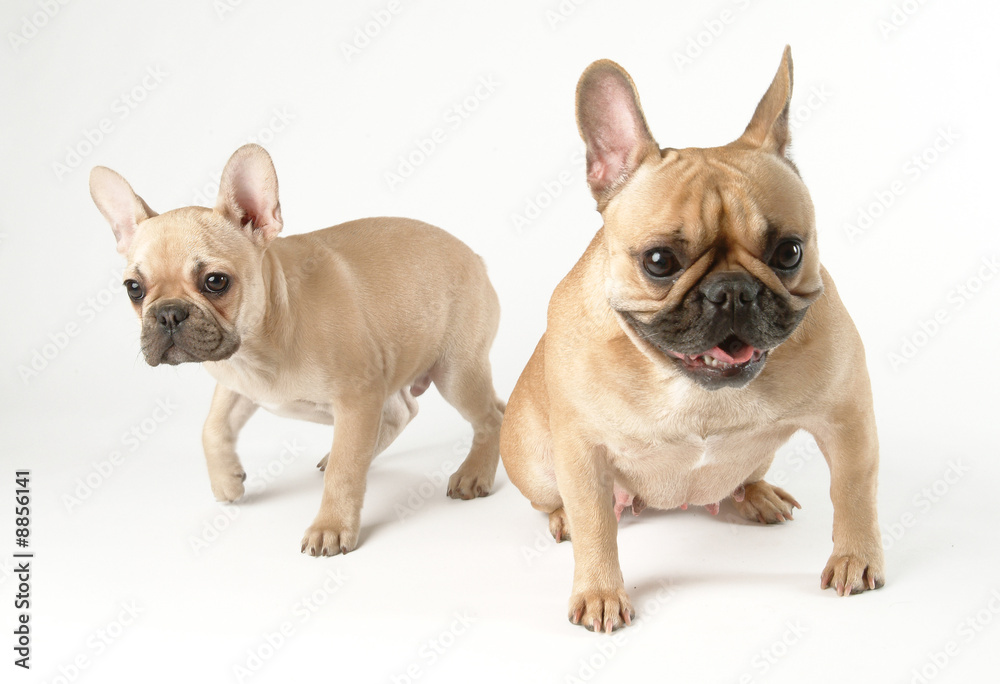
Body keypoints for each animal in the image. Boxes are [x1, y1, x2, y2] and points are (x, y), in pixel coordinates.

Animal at [90, 144, 504, 556]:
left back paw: (473, 473)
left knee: (489, 416)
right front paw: (227, 480)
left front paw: (331, 526)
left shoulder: (357, 397)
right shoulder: (236, 383)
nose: (168, 314)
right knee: (404, 411)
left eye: (215, 281)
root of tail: (476, 259)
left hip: (455, 372)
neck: (261, 339)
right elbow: (212, 427)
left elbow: (345, 471)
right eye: (133, 288)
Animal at [504, 48, 888, 632]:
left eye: (789, 251)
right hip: (533, 461)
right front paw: (599, 591)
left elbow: (854, 491)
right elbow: (596, 527)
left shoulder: (847, 418)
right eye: (659, 261)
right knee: (563, 503)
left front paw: (855, 557)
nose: (732, 292)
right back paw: (561, 517)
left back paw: (757, 495)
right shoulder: (583, 452)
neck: (692, 386)